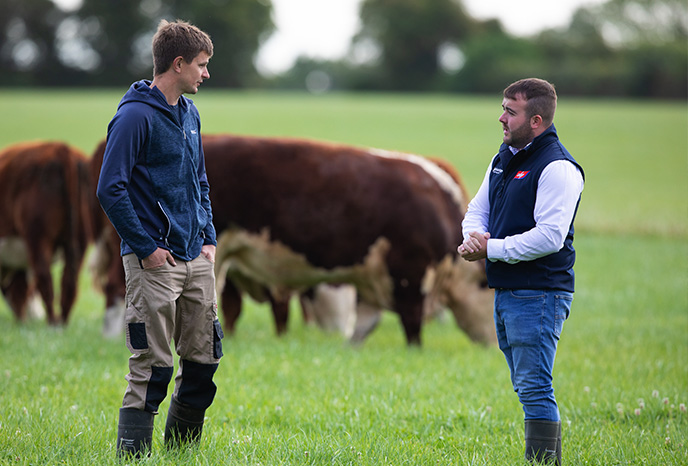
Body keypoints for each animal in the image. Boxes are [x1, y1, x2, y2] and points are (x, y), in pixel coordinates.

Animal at [0, 140, 93, 326]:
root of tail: (60, 149)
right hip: (80, 238)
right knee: (69, 283)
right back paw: (61, 323)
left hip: (38, 237)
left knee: (45, 280)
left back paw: (51, 322)